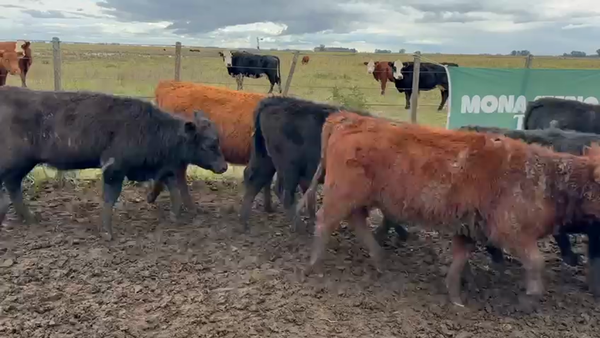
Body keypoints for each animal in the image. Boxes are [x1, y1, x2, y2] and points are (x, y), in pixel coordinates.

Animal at [0, 87, 229, 240]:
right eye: (210, 144)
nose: (224, 166)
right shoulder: (114, 169)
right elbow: (110, 198)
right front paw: (107, 232)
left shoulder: (160, 169)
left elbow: (173, 188)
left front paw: (175, 215)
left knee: (13, 187)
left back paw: (29, 218)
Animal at [300, 111, 600, 306]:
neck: (547, 178)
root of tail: (348, 118)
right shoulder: (512, 232)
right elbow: (537, 263)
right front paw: (530, 297)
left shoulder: (469, 228)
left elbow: (459, 260)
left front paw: (455, 296)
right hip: (341, 194)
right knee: (325, 222)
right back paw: (315, 266)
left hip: (358, 198)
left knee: (358, 221)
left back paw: (379, 260)